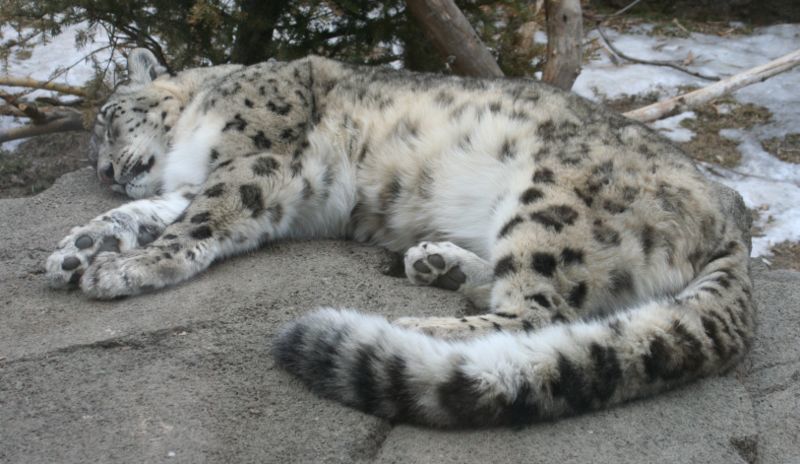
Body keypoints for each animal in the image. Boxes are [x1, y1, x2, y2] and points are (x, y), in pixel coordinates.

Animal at [47, 48, 752, 428]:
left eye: (108, 117)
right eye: (94, 146)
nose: (106, 173)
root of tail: (734, 212)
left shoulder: (255, 160)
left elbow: (197, 221)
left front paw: (123, 270)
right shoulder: (197, 181)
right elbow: (152, 211)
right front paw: (76, 249)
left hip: (554, 204)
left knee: (537, 314)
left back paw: (416, 325)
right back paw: (438, 263)